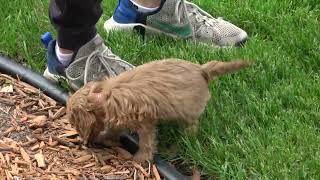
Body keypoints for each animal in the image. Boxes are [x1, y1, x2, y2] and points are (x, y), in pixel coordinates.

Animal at [66, 58, 251, 161]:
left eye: (74, 123)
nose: (83, 141)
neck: (104, 95)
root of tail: (201, 69)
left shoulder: (145, 122)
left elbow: (146, 141)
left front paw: (141, 158)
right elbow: (114, 128)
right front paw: (105, 137)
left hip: (190, 109)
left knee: (191, 126)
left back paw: (183, 141)